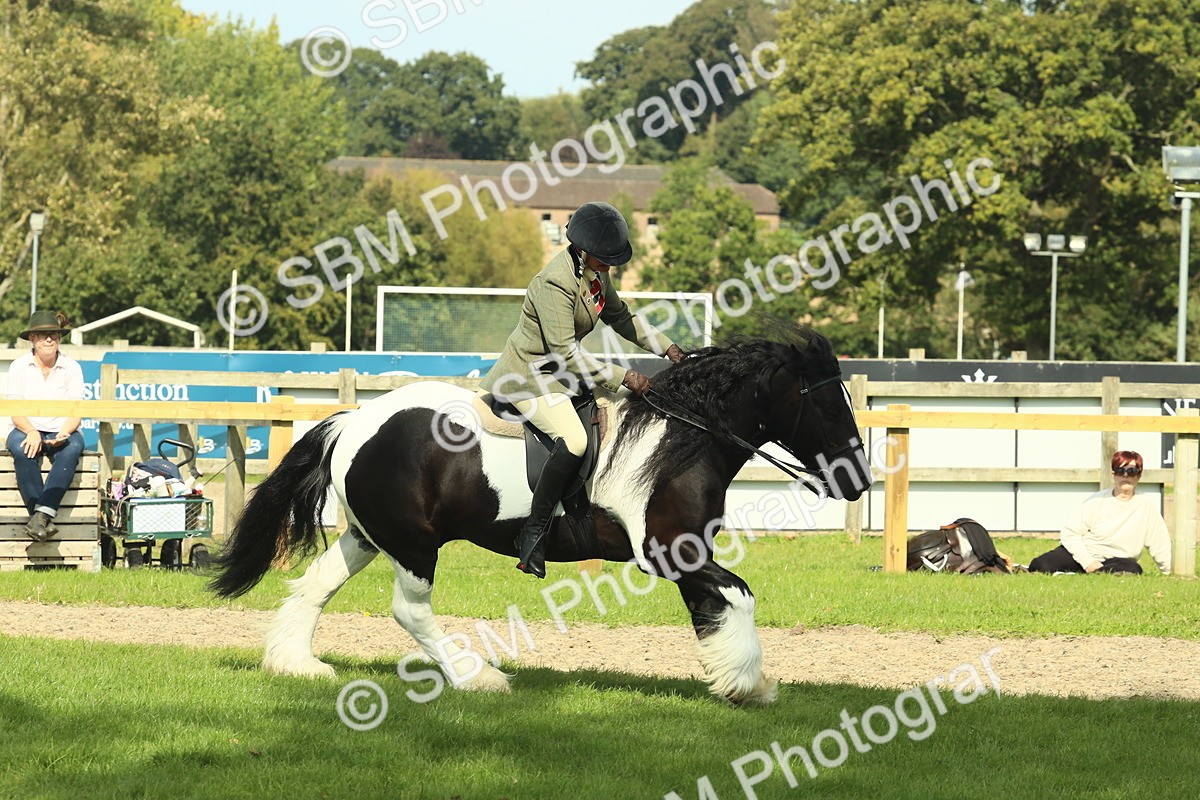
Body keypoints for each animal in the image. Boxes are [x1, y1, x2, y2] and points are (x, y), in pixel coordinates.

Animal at [209, 327, 872, 704]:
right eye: (827, 405)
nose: (857, 480)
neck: (682, 437)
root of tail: (354, 421)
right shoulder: (669, 552)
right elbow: (738, 595)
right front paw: (747, 680)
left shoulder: (688, 553)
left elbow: (712, 608)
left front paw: (737, 681)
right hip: (414, 544)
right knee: (410, 611)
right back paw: (477, 678)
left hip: (369, 537)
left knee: (313, 587)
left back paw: (297, 665)